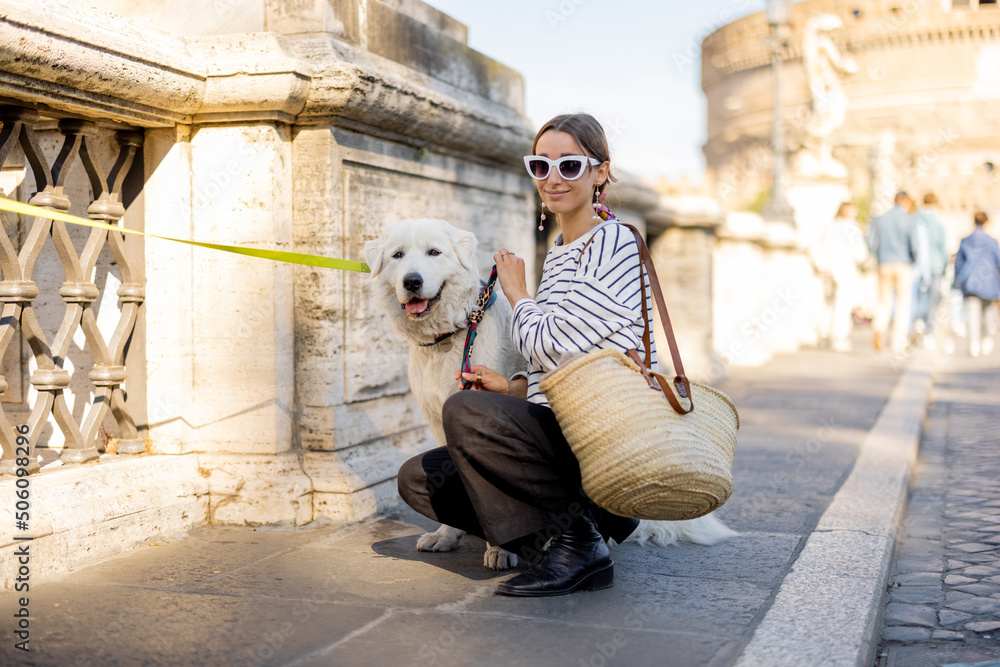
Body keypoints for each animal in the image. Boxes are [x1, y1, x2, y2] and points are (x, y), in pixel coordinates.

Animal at [366, 218, 736, 568]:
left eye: (434, 252)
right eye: (397, 256)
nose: (412, 282)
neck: (451, 335)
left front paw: (501, 549)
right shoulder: (435, 419)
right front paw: (446, 535)